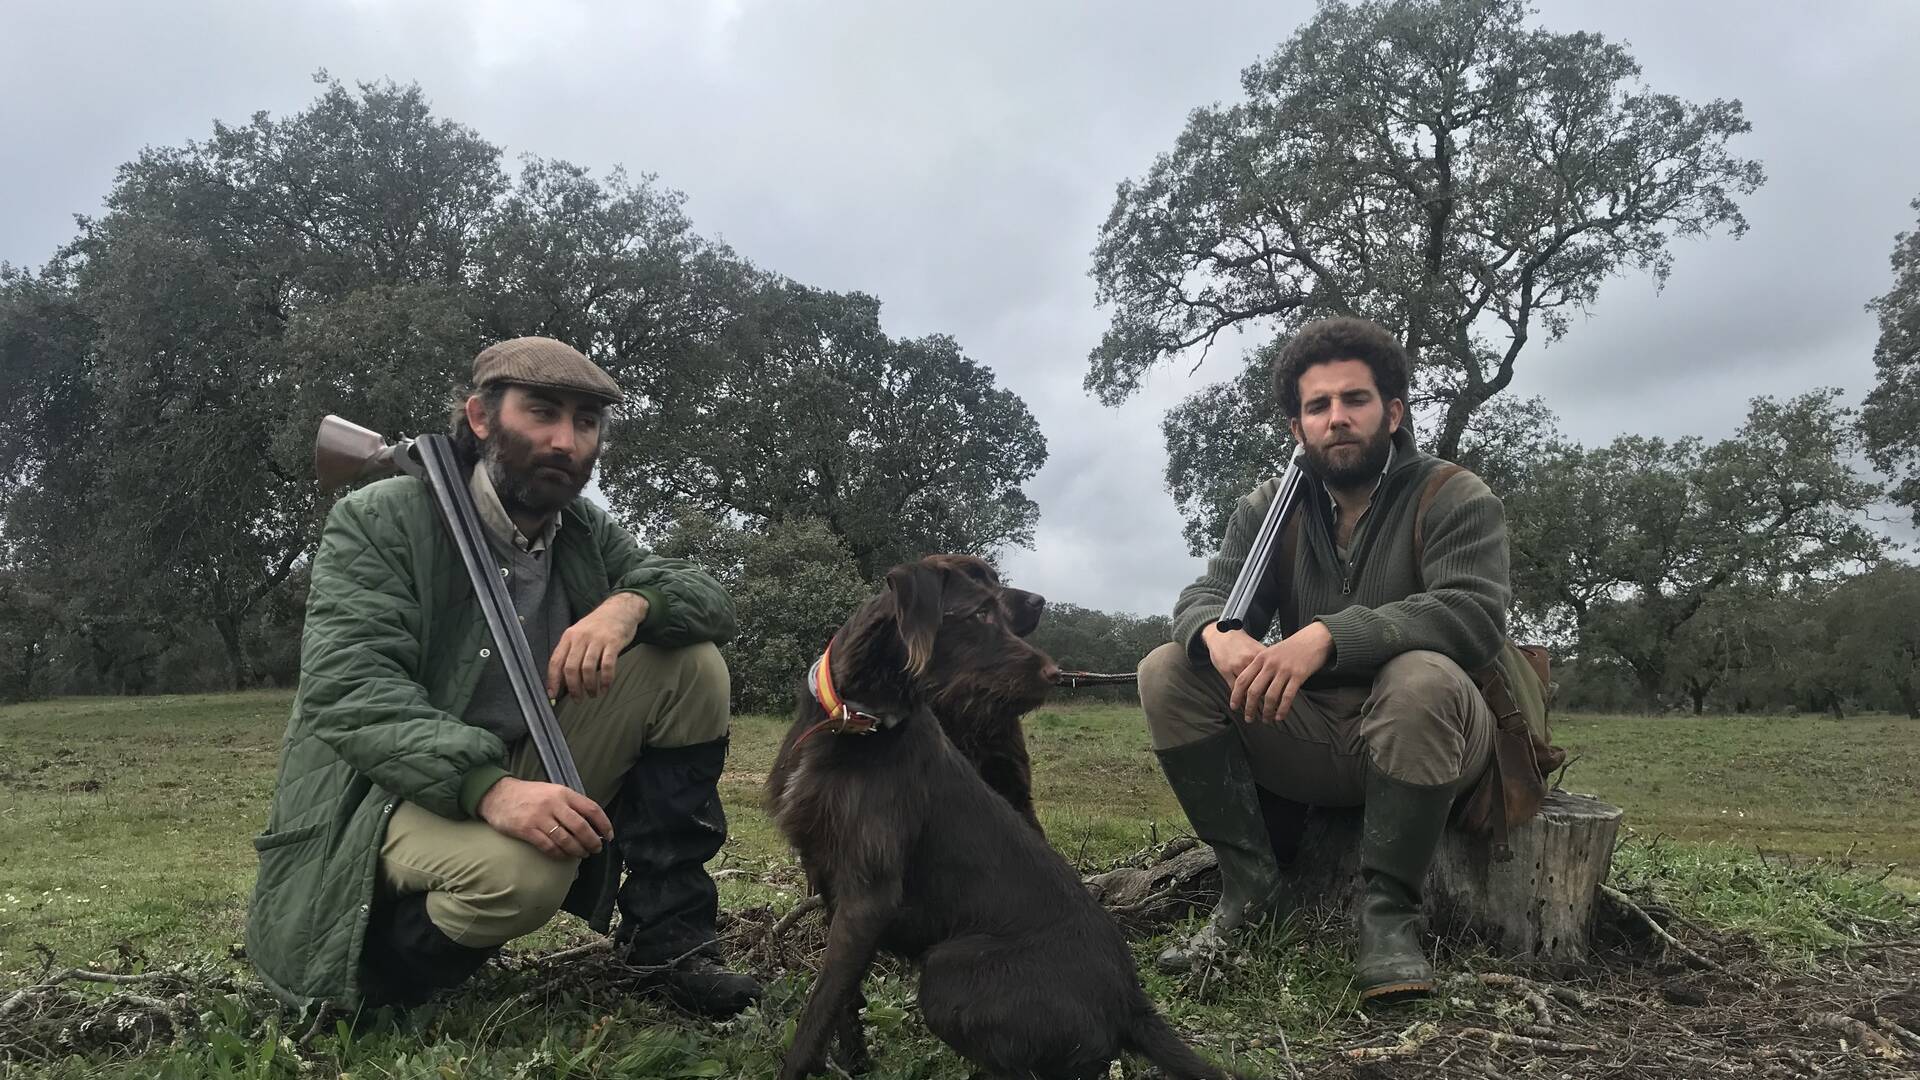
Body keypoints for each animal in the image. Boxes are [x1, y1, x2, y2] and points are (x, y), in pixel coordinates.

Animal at [764, 553, 1244, 1076]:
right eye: (978, 613)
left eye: (1001, 610)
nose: (1055, 674)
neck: (856, 722)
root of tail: (1131, 1002)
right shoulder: (830, 878)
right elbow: (843, 1003)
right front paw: (855, 1065)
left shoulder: (870, 894)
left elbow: (816, 1012)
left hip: (946, 972)